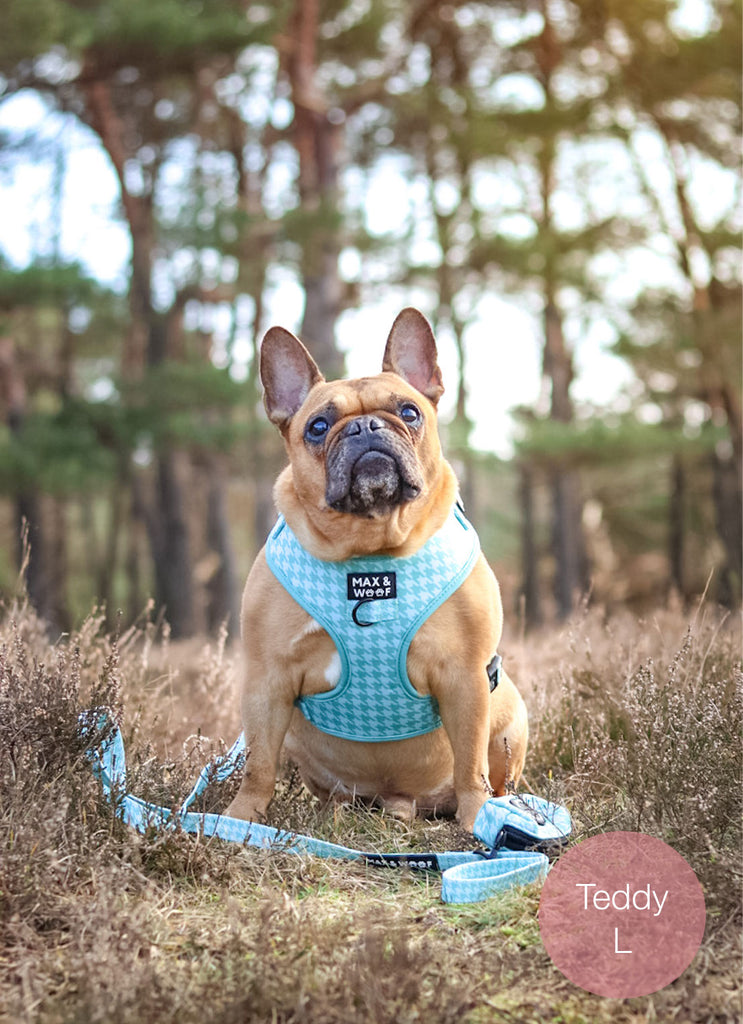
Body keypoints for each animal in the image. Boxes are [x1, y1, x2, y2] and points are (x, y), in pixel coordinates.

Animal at [227, 305, 528, 831]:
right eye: (317, 427)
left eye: (408, 412)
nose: (366, 427)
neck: (370, 548)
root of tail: (400, 801)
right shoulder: (267, 680)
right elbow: (258, 763)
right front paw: (241, 818)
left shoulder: (466, 678)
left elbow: (470, 763)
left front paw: (478, 819)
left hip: (511, 712)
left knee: (494, 773)